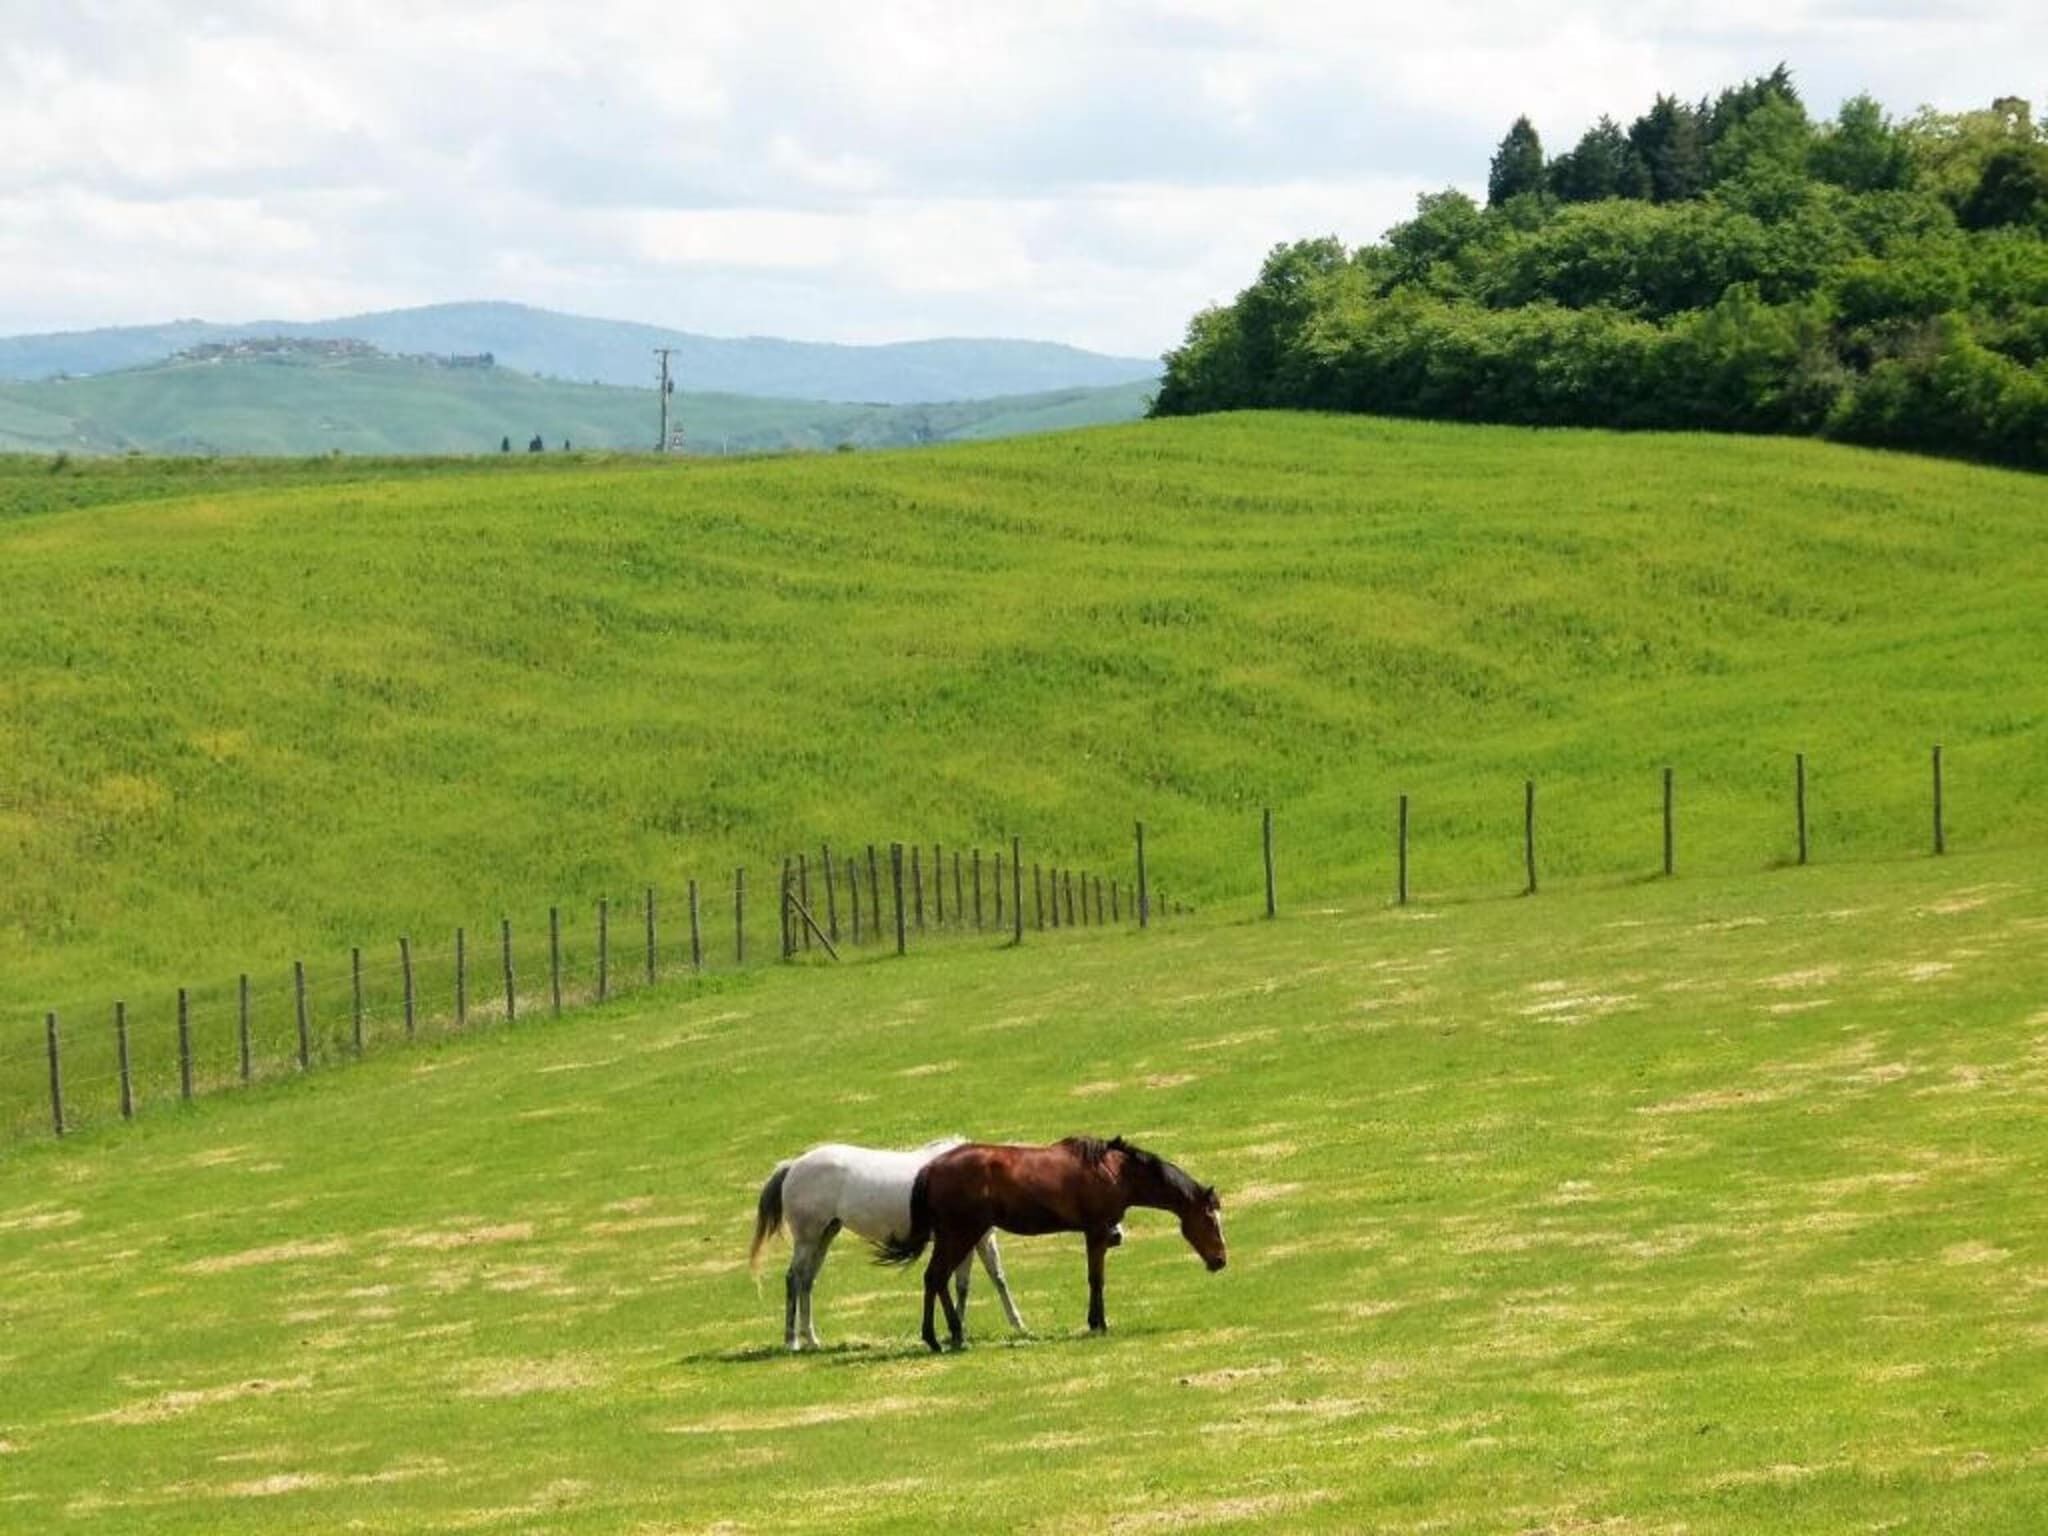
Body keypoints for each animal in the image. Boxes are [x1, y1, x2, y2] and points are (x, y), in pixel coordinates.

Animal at [748, 1139, 1028, 1352]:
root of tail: (794, 1165)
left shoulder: (977, 1239)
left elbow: (981, 1281)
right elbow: (974, 1282)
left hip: (825, 1235)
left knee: (807, 1280)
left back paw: (812, 1340)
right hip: (807, 1238)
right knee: (794, 1278)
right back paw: (792, 1341)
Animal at [877, 1135, 1225, 1353]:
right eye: (1210, 1219)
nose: (1220, 1260)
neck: (1115, 1171)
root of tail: (930, 1169)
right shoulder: (1096, 1232)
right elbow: (1096, 1279)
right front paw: (1098, 1324)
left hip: (954, 1235)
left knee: (935, 1279)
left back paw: (945, 1336)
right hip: (962, 1233)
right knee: (937, 1277)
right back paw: (943, 1338)